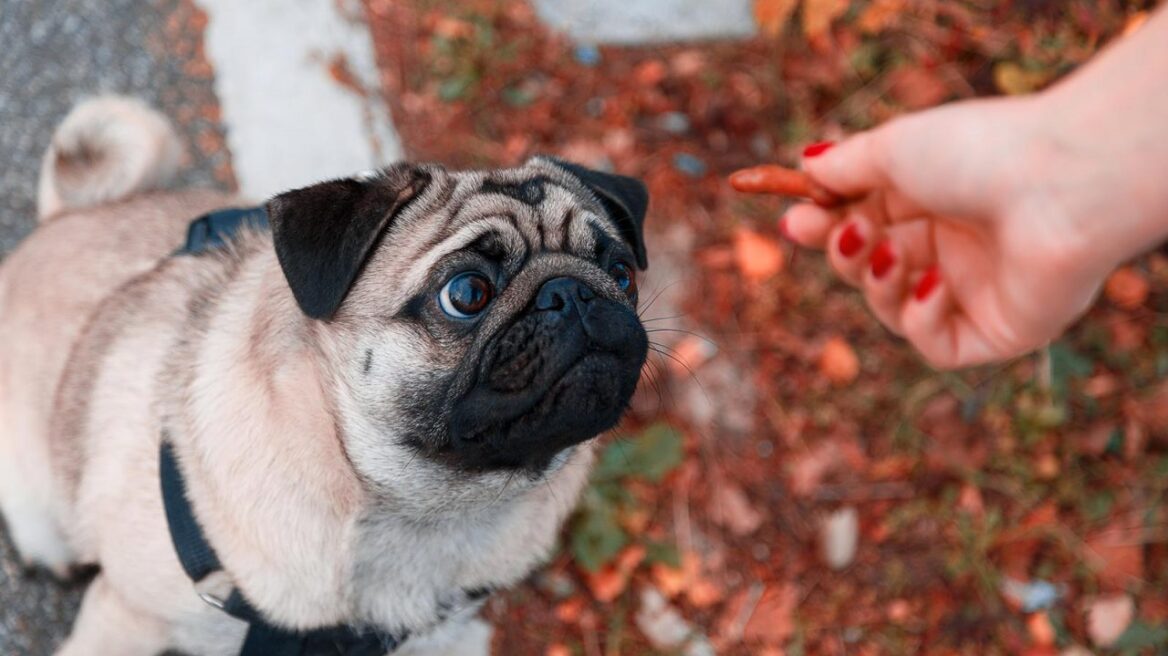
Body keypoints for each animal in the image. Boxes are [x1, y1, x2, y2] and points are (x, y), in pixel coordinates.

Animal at [0, 96, 649, 653]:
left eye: (622, 274)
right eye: (466, 294)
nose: (572, 293)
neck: (425, 515)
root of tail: (69, 215)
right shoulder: (126, 618)